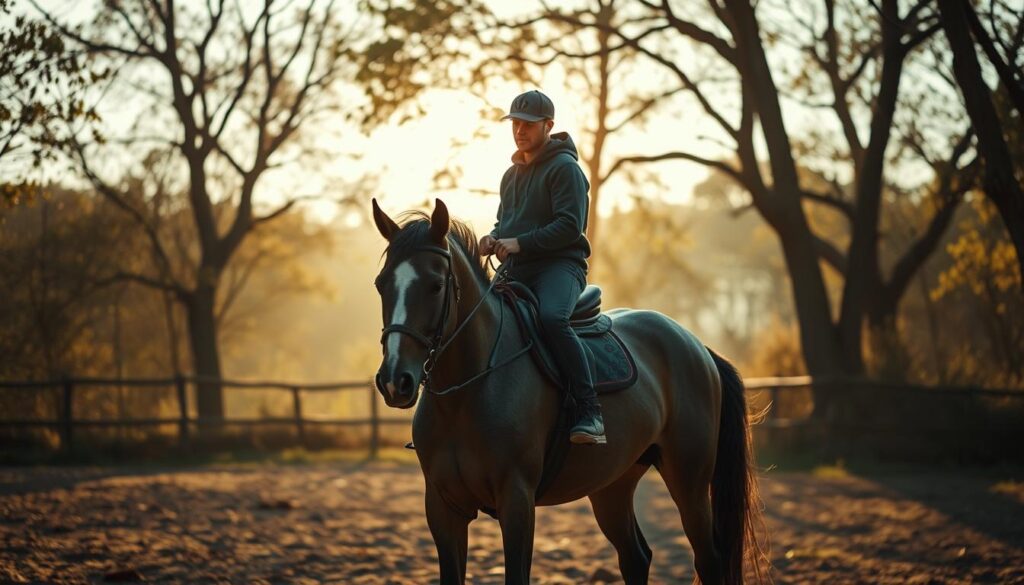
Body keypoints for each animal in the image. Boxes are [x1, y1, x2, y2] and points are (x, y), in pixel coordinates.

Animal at [372, 198, 765, 581]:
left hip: (690, 484)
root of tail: (696, 346)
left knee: (709, 560)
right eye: (381, 284)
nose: (395, 380)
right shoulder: (443, 508)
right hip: (612, 485)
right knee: (636, 557)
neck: (466, 394)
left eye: (435, 285)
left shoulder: (517, 501)